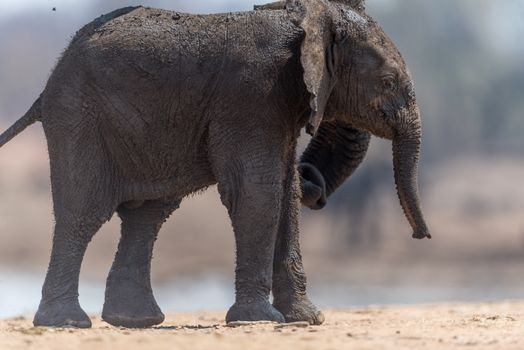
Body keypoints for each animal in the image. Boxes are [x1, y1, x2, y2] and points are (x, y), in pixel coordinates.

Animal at [0, 0, 430, 328]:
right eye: (388, 82)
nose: (421, 237)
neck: (304, 20)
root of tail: (47, 85)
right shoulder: (252, 96)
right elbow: (258, 191)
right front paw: (261, 320)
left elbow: (284, 191)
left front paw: (306, 319)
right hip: (78, 118)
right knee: (84, 212)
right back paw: (68, 323)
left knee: (148, 214)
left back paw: (136, 321)